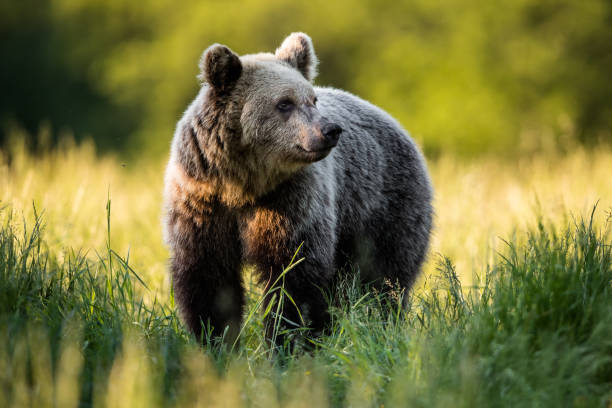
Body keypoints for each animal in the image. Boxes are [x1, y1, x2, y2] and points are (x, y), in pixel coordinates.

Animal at [163, 32, 430, 344]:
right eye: (284, 103)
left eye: (313, 99)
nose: (330, 130)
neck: (242, 184)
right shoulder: (202, 202)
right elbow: (208, 278)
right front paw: (216, 340)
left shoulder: (290, 199)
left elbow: (294, 274)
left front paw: (288, 339)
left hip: (383, 209)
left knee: (384, 279)